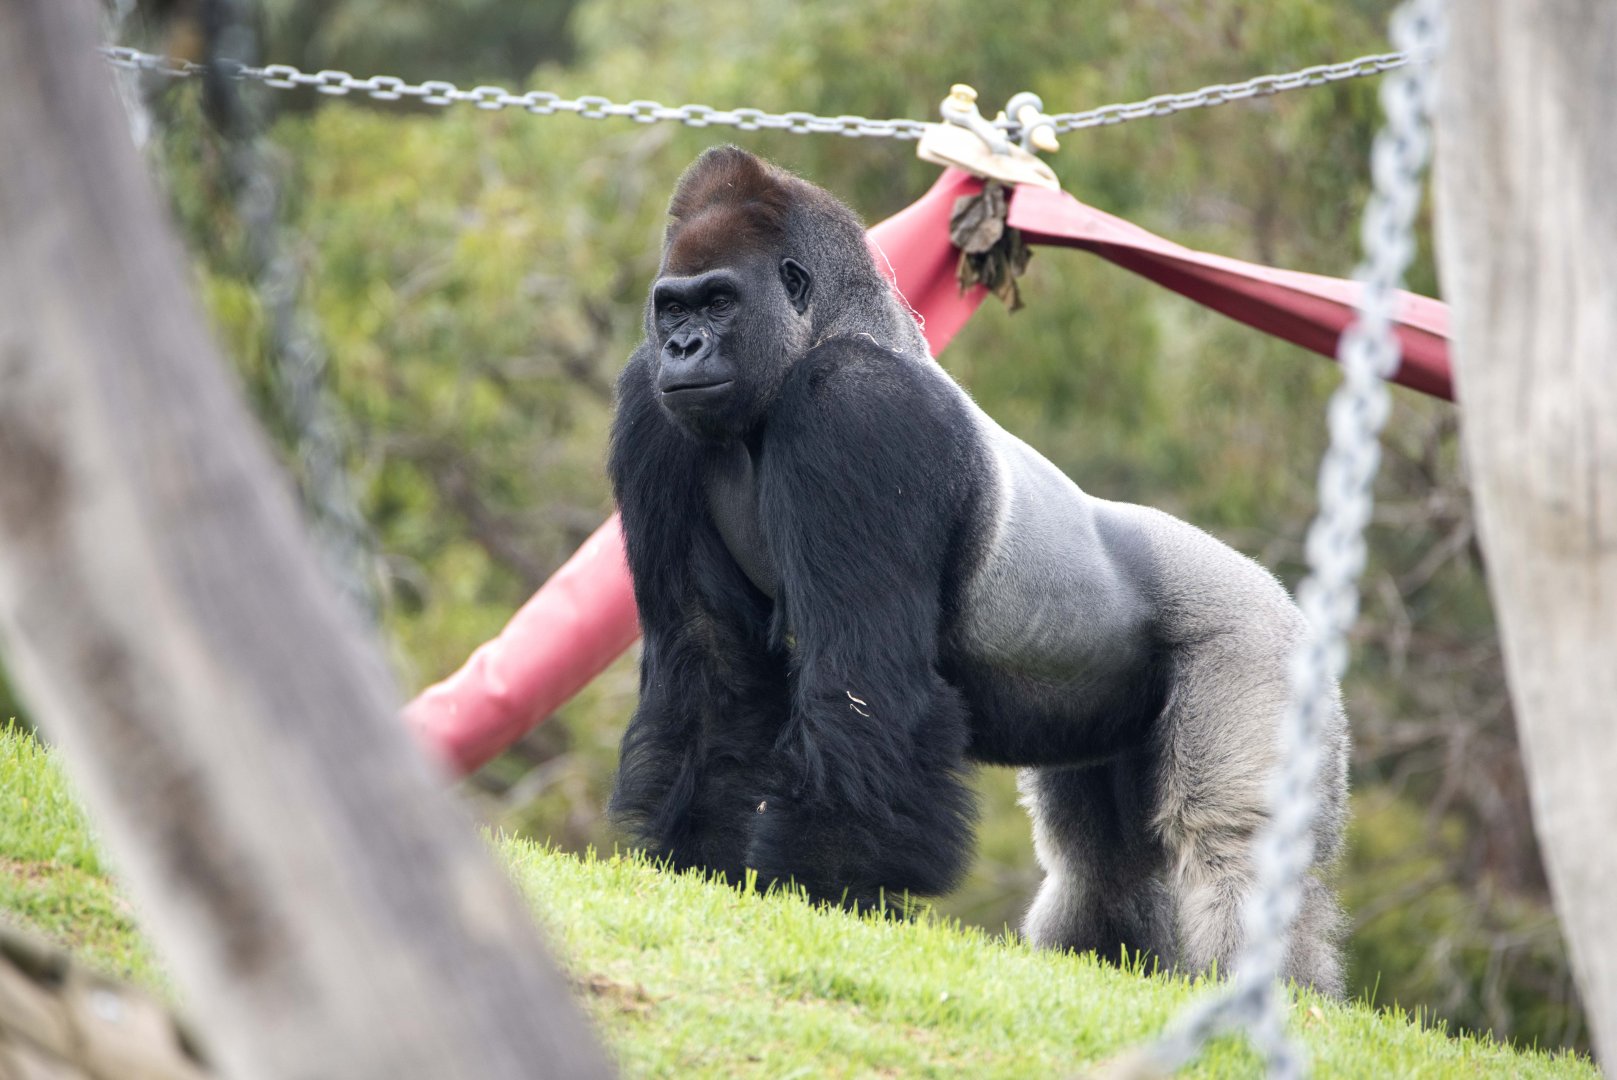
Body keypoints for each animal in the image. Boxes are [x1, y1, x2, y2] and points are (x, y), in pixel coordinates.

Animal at [607, 145, 1347, 994]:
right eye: (672, 310)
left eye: (720, 302)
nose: (681, 349)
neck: (829, 330)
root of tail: (1282, 595)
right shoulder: (649, 407)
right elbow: (709, 663)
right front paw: (704, 854)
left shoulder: (855, 406)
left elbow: (865, 685)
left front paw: (823, 879)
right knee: (1103, 865)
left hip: (1260, 644)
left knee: (1230, 844)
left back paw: (1280, 994)